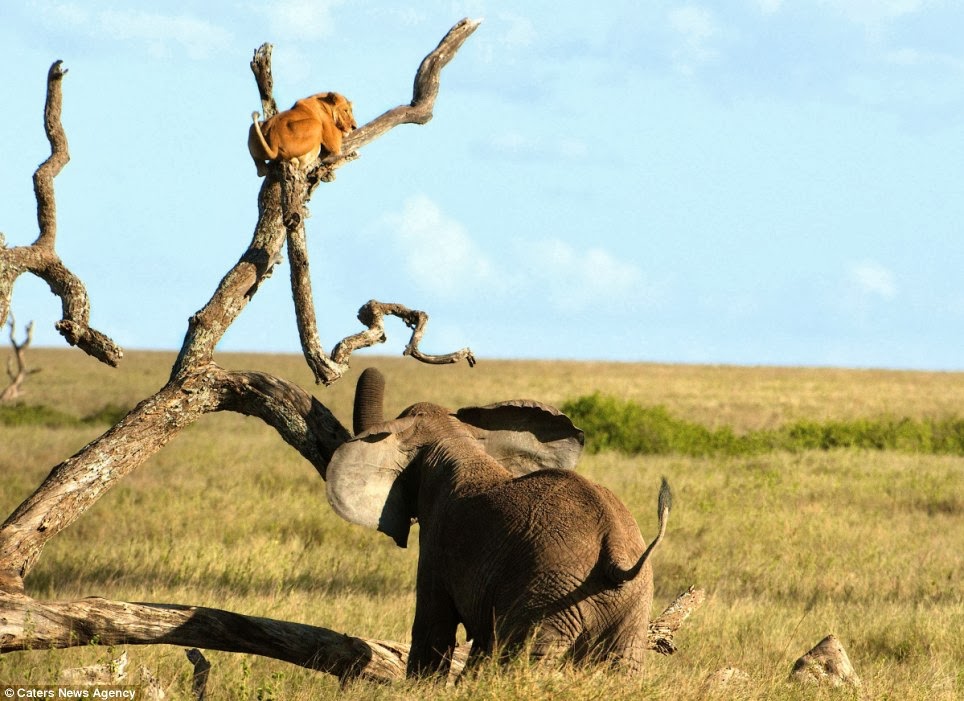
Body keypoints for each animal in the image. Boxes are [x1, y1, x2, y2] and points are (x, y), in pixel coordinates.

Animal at [324, 370, 672, 676]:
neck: (457, 440)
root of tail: (613, 549)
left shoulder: (437, 543)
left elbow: (433, 627)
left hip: (548, 596)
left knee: (525, 662)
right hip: (630, 604)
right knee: (624, 667)